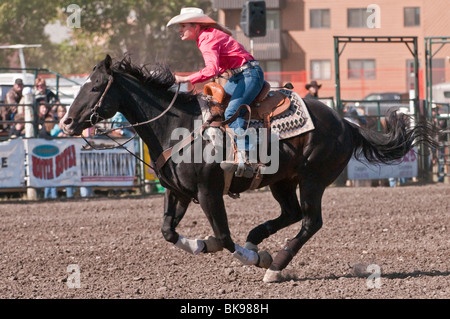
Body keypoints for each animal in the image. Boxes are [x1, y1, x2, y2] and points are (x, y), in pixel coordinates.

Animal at [60, 56, 436, 284]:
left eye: (95, 87)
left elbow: (225, 236)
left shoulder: (208, 193)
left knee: (310, 221)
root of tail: (347, 123)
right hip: (283, 181)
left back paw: (274, 264)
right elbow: (168, 231)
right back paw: (257, 240)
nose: (66, 122)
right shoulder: (176, 192)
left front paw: (249, 258)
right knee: (291, 213)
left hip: (313, 180)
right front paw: (204, 244)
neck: (177, 125)